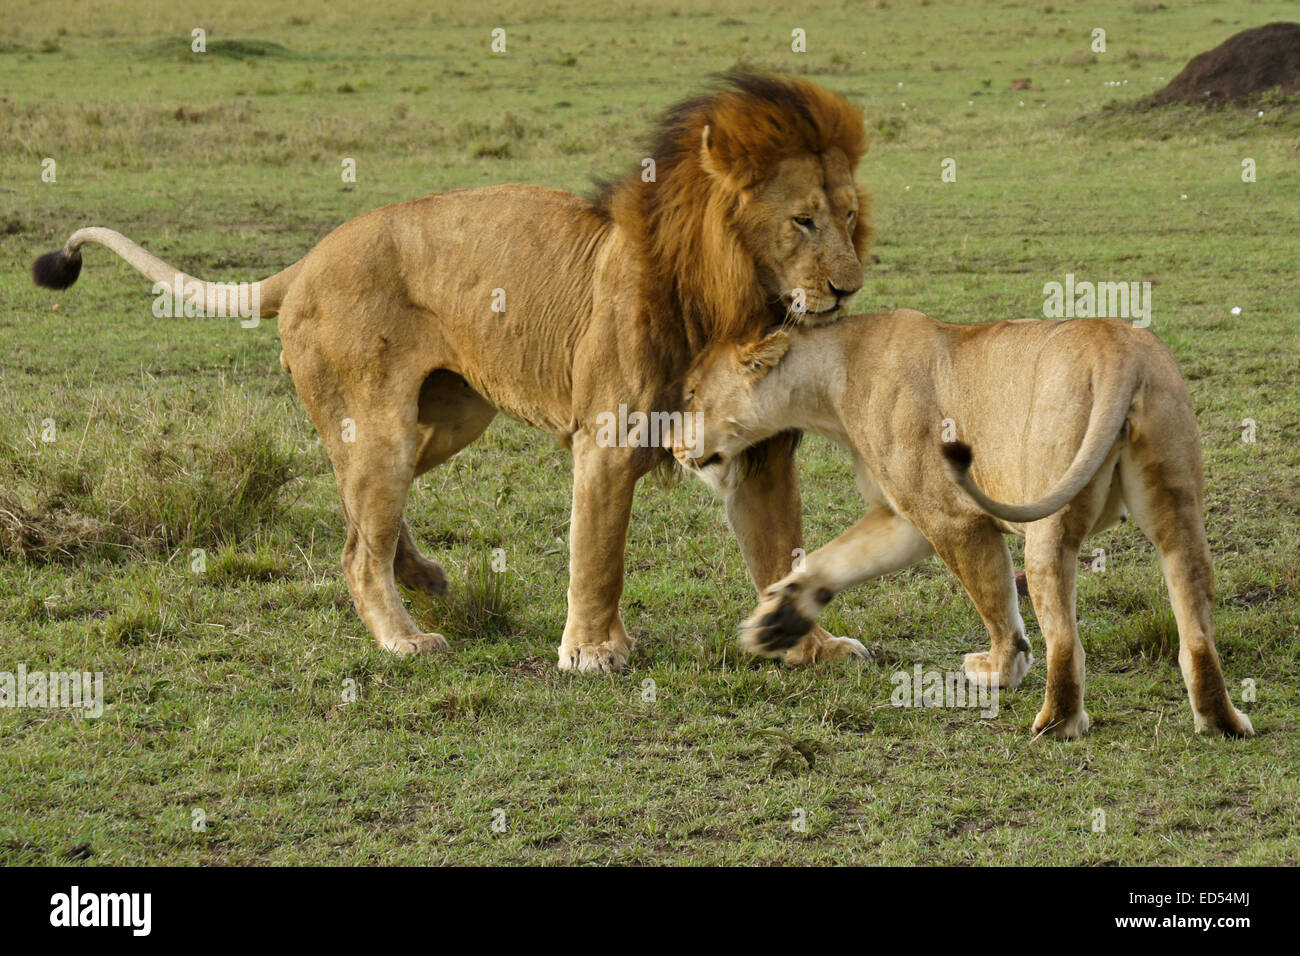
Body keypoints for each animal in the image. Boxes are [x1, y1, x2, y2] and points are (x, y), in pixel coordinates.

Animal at [31, 73, 873, 672]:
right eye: (802, 222)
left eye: (850, 217)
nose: (847, 288)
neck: (734, 302)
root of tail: (307, 259)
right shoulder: (605, 438)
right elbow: (599, 555)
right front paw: (592, 651)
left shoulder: (763, 451)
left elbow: (781, 550)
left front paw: (811, 648)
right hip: (385, 427)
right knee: (355, 548)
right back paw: (404, 638)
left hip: (450, 419)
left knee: (357, 510)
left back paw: (424, 576)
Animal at [674, 310, 1254, 738]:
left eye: (692, 393)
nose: (672, 445)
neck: (830, 378)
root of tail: (1119, 349)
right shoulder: (905, 517)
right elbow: (834, 557)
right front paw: (779, 619)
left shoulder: (950, 516)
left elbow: (996, 603)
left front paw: (1000, 670)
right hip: (1179, 510)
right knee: (1195, 627)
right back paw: (1222, 721)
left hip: (1048, 520)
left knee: (1064, 640)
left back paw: (1056, 725)